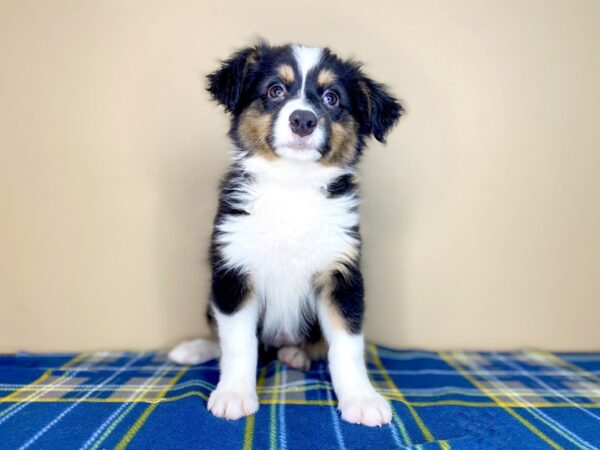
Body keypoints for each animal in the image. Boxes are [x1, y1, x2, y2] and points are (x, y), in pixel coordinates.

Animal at [169, 44, 404, 428]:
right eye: (276, 90)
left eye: (331, 97)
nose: (303, 120)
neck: (292, 185)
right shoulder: (234, 273)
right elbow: (238, 343)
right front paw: (234, 395)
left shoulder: (342, 276)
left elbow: (347, 346)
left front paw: (361, 399)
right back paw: (196, 348)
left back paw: (297, 354)